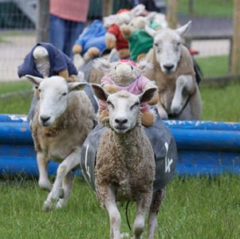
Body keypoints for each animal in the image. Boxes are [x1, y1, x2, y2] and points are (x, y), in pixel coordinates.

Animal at [23, 75, 95, 211]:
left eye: (64, 93)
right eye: (40, 90)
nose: (44, 118)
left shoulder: (78, 151)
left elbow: (61, 169)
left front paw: (55, 194)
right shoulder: (41, 151)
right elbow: (43, 182)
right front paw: (57, 194)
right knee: (69, 180)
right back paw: (60, 204)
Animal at [90, 84, 165, 239]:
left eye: (136, 104)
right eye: (110, 103)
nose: (120, 121)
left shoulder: (146, 190)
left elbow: (138, 226)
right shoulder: (105, 186)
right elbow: (115, 219)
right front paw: (116, 235)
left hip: (159, 192)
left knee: (152, 221)